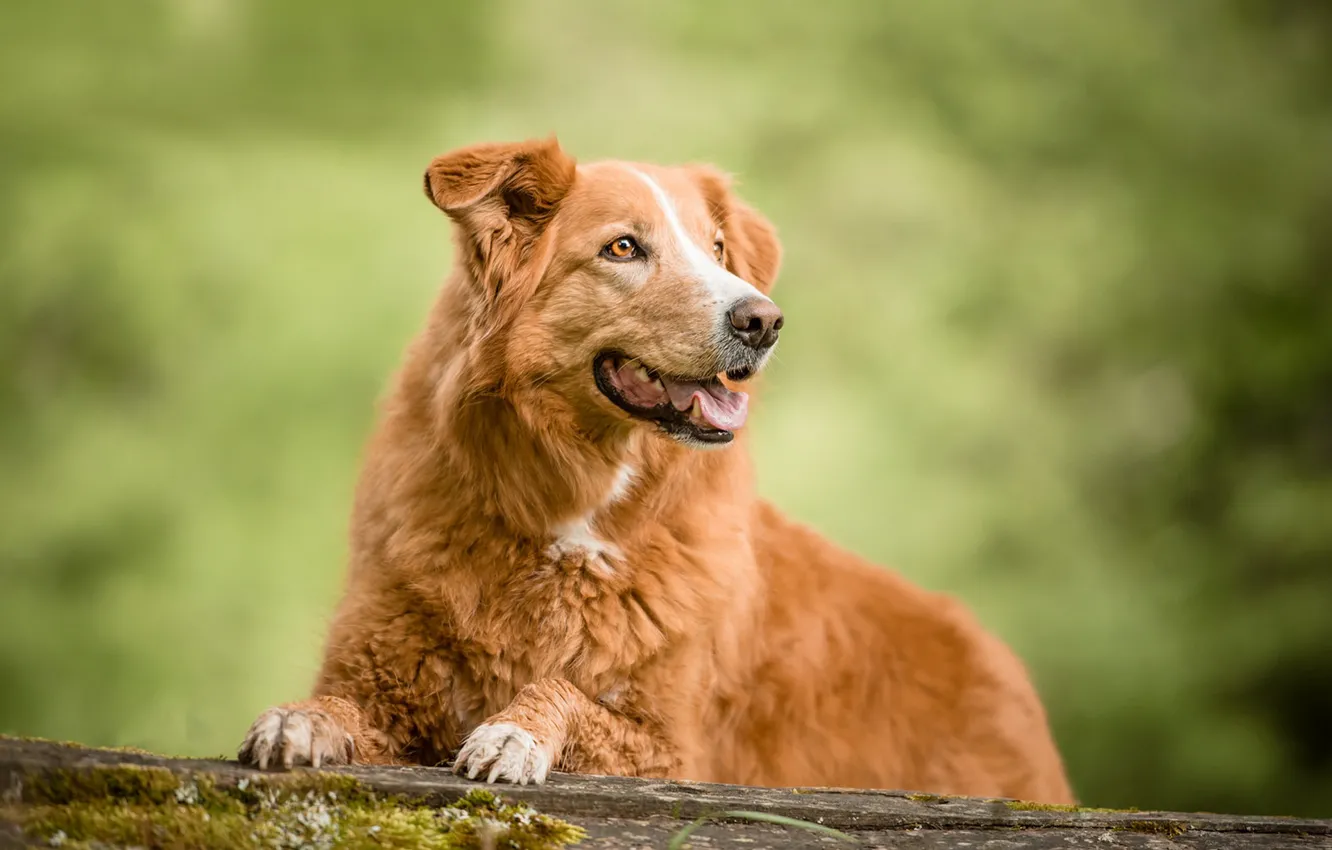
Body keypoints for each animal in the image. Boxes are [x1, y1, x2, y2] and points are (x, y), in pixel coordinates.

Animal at [237, 138, 1070, 804]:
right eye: (623, 249)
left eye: (718, 248)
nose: (764, 321)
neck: (574, 506)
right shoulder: (385, 685)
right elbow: (341, 705)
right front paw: (302, 720)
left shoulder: (673, 750)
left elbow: (565, 692)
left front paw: (516, 731)